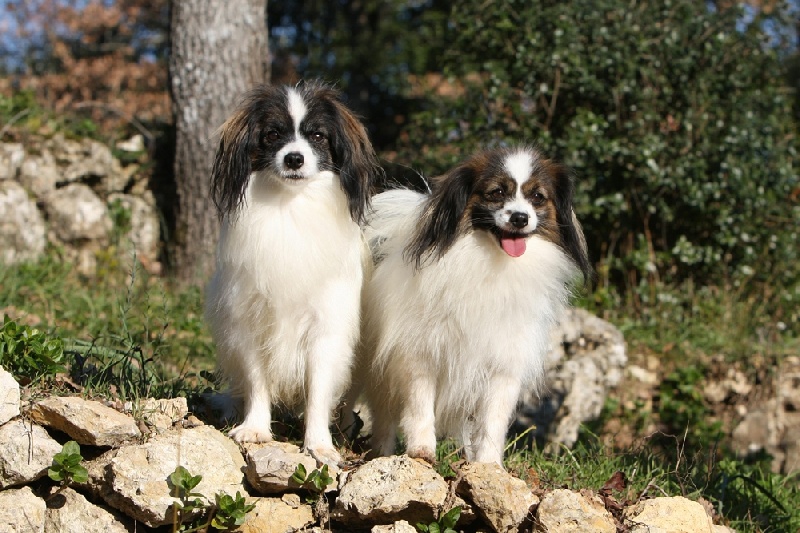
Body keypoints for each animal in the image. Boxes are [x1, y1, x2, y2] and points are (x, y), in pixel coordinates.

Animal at [206, 80, 382, 466]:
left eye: (317, 135)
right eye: (272, 135)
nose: (294, 158)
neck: (290, 208)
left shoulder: (325, 329)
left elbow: (318, 392)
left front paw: (319, 445)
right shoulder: (251, 322)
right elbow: (257, 380)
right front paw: (255, 429)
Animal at [350, 145, 592, 466]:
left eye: (538, 197)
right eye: (496, 192)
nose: (519, 217)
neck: (488, 261)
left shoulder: (503, 364)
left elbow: (493, 421)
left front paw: (488, 464)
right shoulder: (421, 353)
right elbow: (419, 406)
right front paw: (421, 450)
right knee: (384, 413)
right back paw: (382, 451)